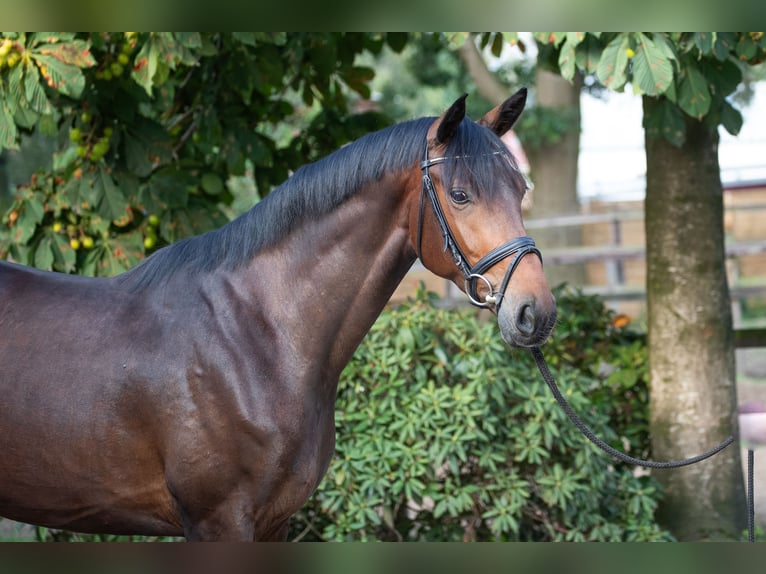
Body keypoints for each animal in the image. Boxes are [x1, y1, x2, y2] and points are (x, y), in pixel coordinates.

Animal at [0, 89, 556, 540]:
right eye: (461, 195)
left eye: (521, 190)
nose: (536, 312)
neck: (255, 337)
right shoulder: (218, 522)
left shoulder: (275, 522)